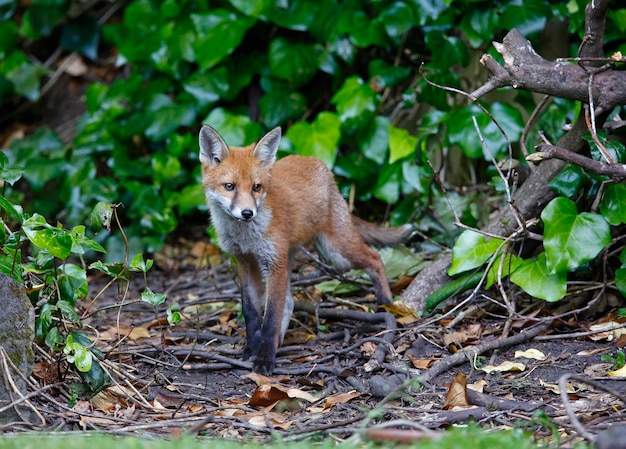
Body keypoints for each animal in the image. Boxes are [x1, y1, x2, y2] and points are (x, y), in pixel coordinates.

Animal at [200, 124, 412, 372]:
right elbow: (251, 312)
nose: (247, 213)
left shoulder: (274, 263)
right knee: (290, 303)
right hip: (296, 255)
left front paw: (264, 359)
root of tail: (318, 163)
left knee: (375, 258)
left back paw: (386, 305)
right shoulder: (245, 261)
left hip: (336, 252)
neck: (245, 236)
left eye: (256, 187)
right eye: (229, 186)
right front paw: (252, 349)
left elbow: (270, 318)